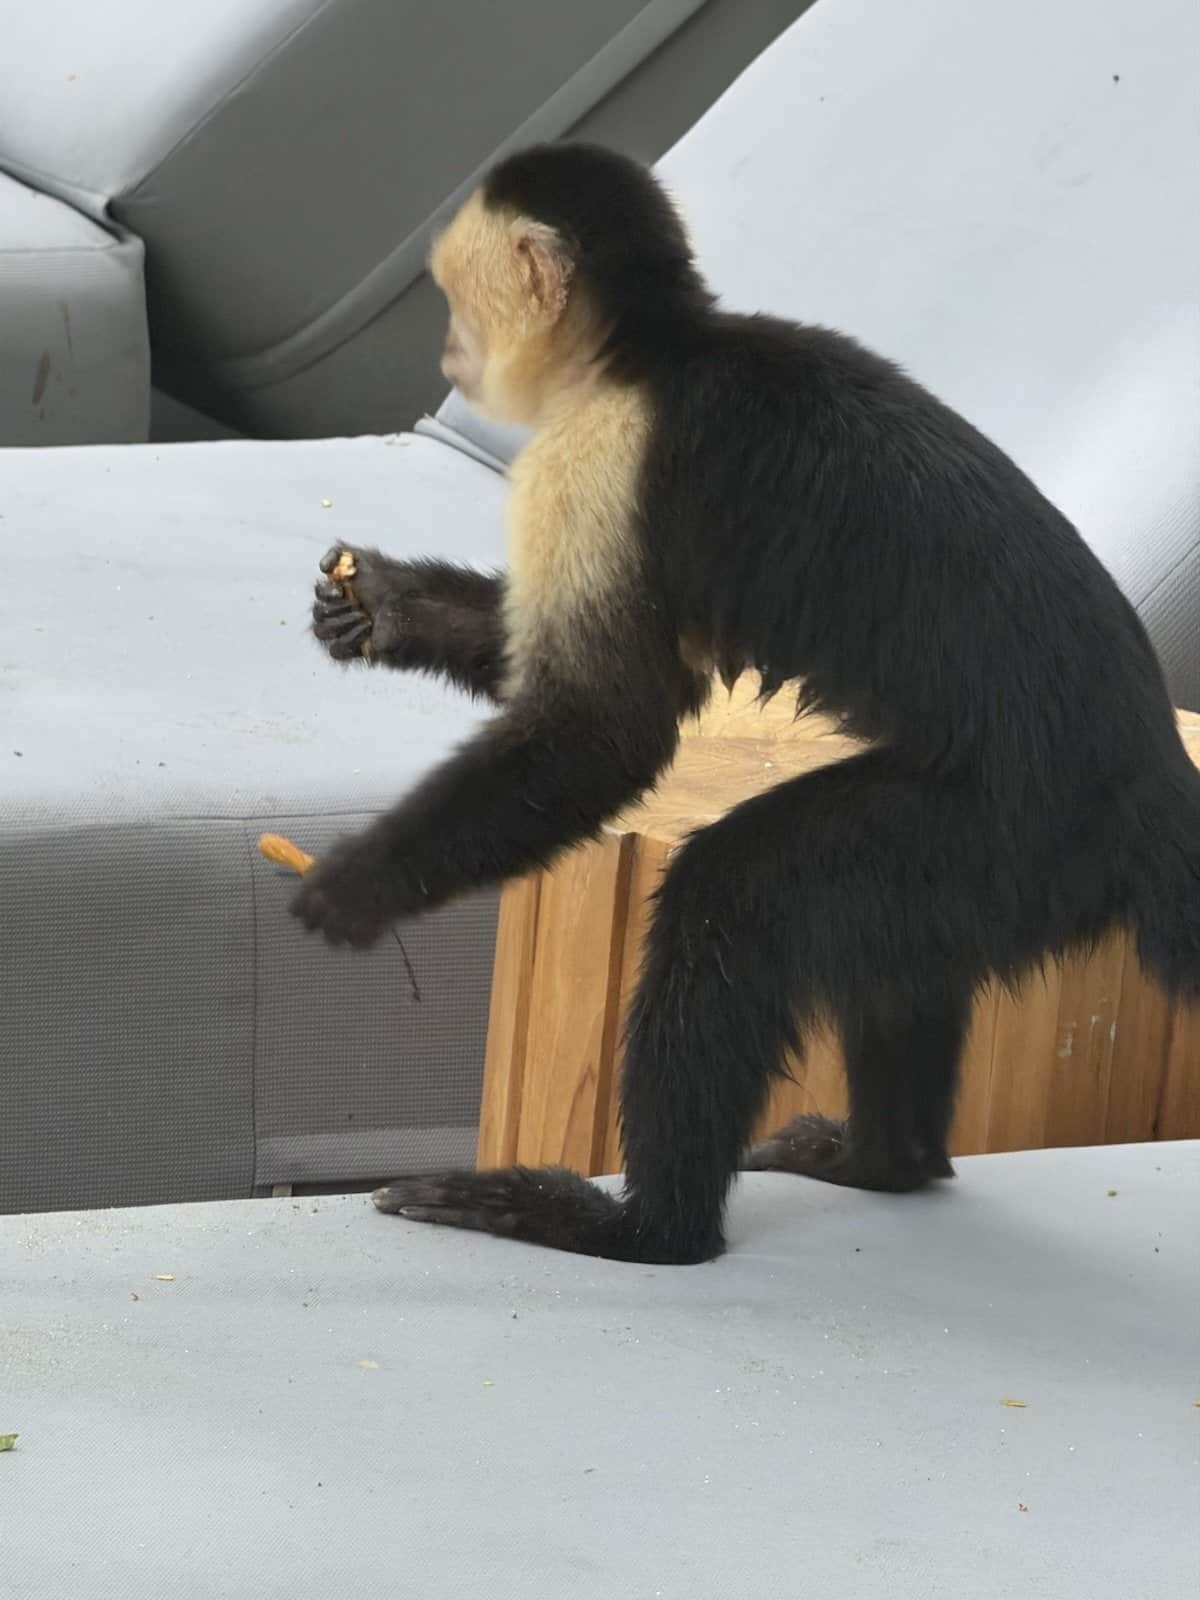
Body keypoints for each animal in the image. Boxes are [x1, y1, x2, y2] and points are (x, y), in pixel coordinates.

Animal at [299, 142, 1200, 1265]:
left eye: (457, 299)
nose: (450, 353)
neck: (651, 350)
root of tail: (1159, 779)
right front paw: (386, 606)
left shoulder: (593, 461)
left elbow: (608, 727)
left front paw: (359, 884)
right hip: (998, 879)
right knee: (887, 949)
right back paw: (888, 1163)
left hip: (1019, 836)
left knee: (736, 894)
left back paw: (645, 1227)